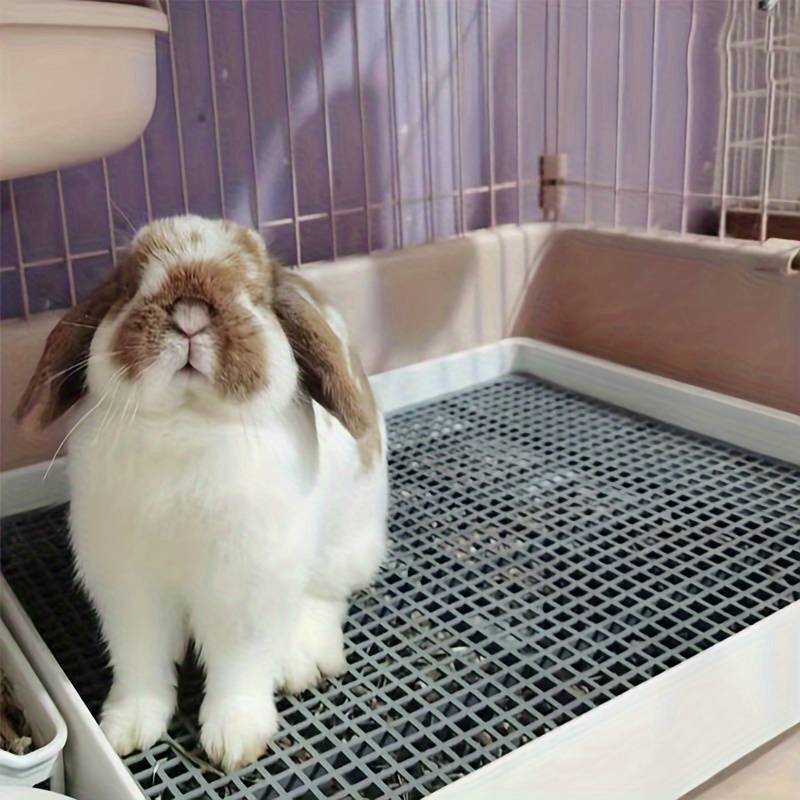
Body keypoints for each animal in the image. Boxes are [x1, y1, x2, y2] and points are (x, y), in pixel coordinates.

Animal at [15, 215, 388, 771]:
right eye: (129, 286)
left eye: (254, 294)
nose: (190, 313)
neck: (186, 421)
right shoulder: (129, 591)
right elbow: (140, 663)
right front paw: (127, 729)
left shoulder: (243, 591)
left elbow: (239, 669)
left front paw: (234, 741)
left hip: (343, 545)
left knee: (324, 597)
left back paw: (302, 660)